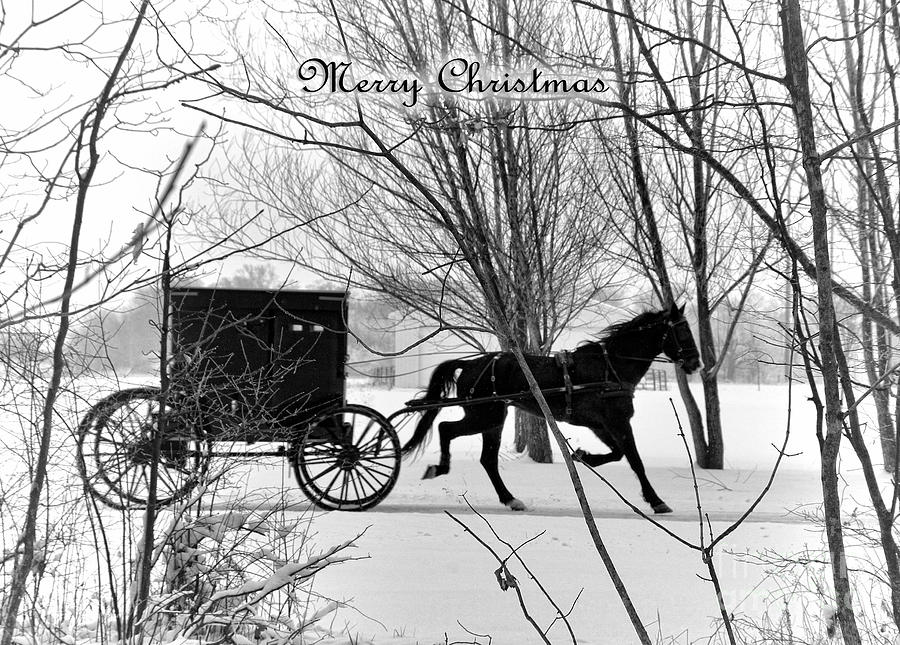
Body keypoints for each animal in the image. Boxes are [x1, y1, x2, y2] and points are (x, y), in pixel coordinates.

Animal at [400, 304, 704, 512]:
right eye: (682, 330)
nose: (696, 363)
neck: (610, 366)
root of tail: (471, 363)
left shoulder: (601, 424)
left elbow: (618, 454)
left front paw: (584, 456)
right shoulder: (617, 422)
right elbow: (635, 461)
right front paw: (656, 500)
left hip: (493, 420)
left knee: (487, 459)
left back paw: (510, 498)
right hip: (483, 415)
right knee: (445, 429)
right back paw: (440, 468)